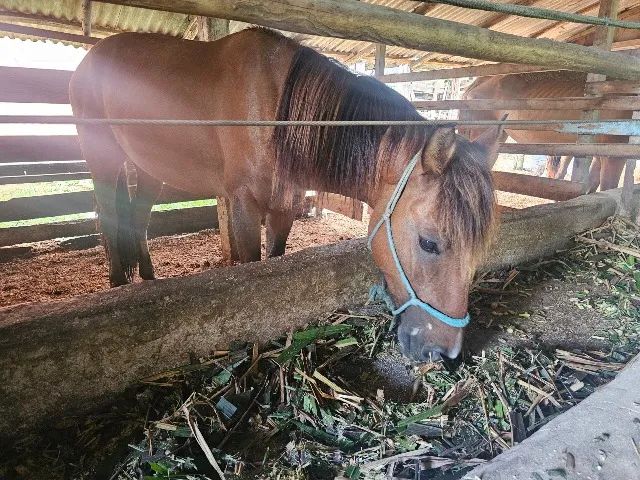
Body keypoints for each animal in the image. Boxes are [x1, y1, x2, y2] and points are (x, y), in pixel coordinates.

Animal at [70, 28, 503, 362]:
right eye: (429, 243)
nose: (445, 353)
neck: (277, 113)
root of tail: (89, 59)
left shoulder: (284, 209)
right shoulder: (244, 206)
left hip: (147, 167)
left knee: (137, 217)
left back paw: (147, 277)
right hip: (102, 158)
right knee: (108, 214)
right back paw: (118, 283)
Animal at [458, 71, 633, 191]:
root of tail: (477, 82)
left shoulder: (599, 153)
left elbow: (591, 187)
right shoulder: (614, 154)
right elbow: (608, 188)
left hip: (499, 135)